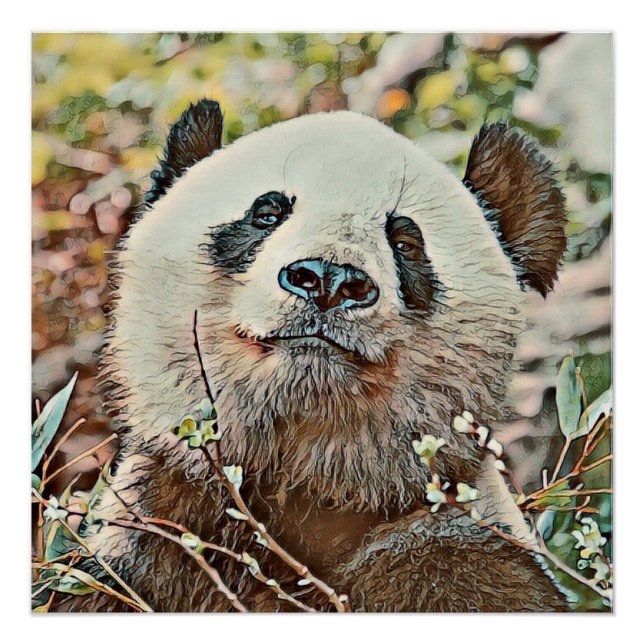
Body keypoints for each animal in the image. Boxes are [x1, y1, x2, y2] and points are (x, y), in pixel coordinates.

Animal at [57, 99, 569, 612]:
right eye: (267, 214)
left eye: (406, 243)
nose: (328, 279)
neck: (308, 483)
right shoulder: (157, 531)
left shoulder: (455, 543)